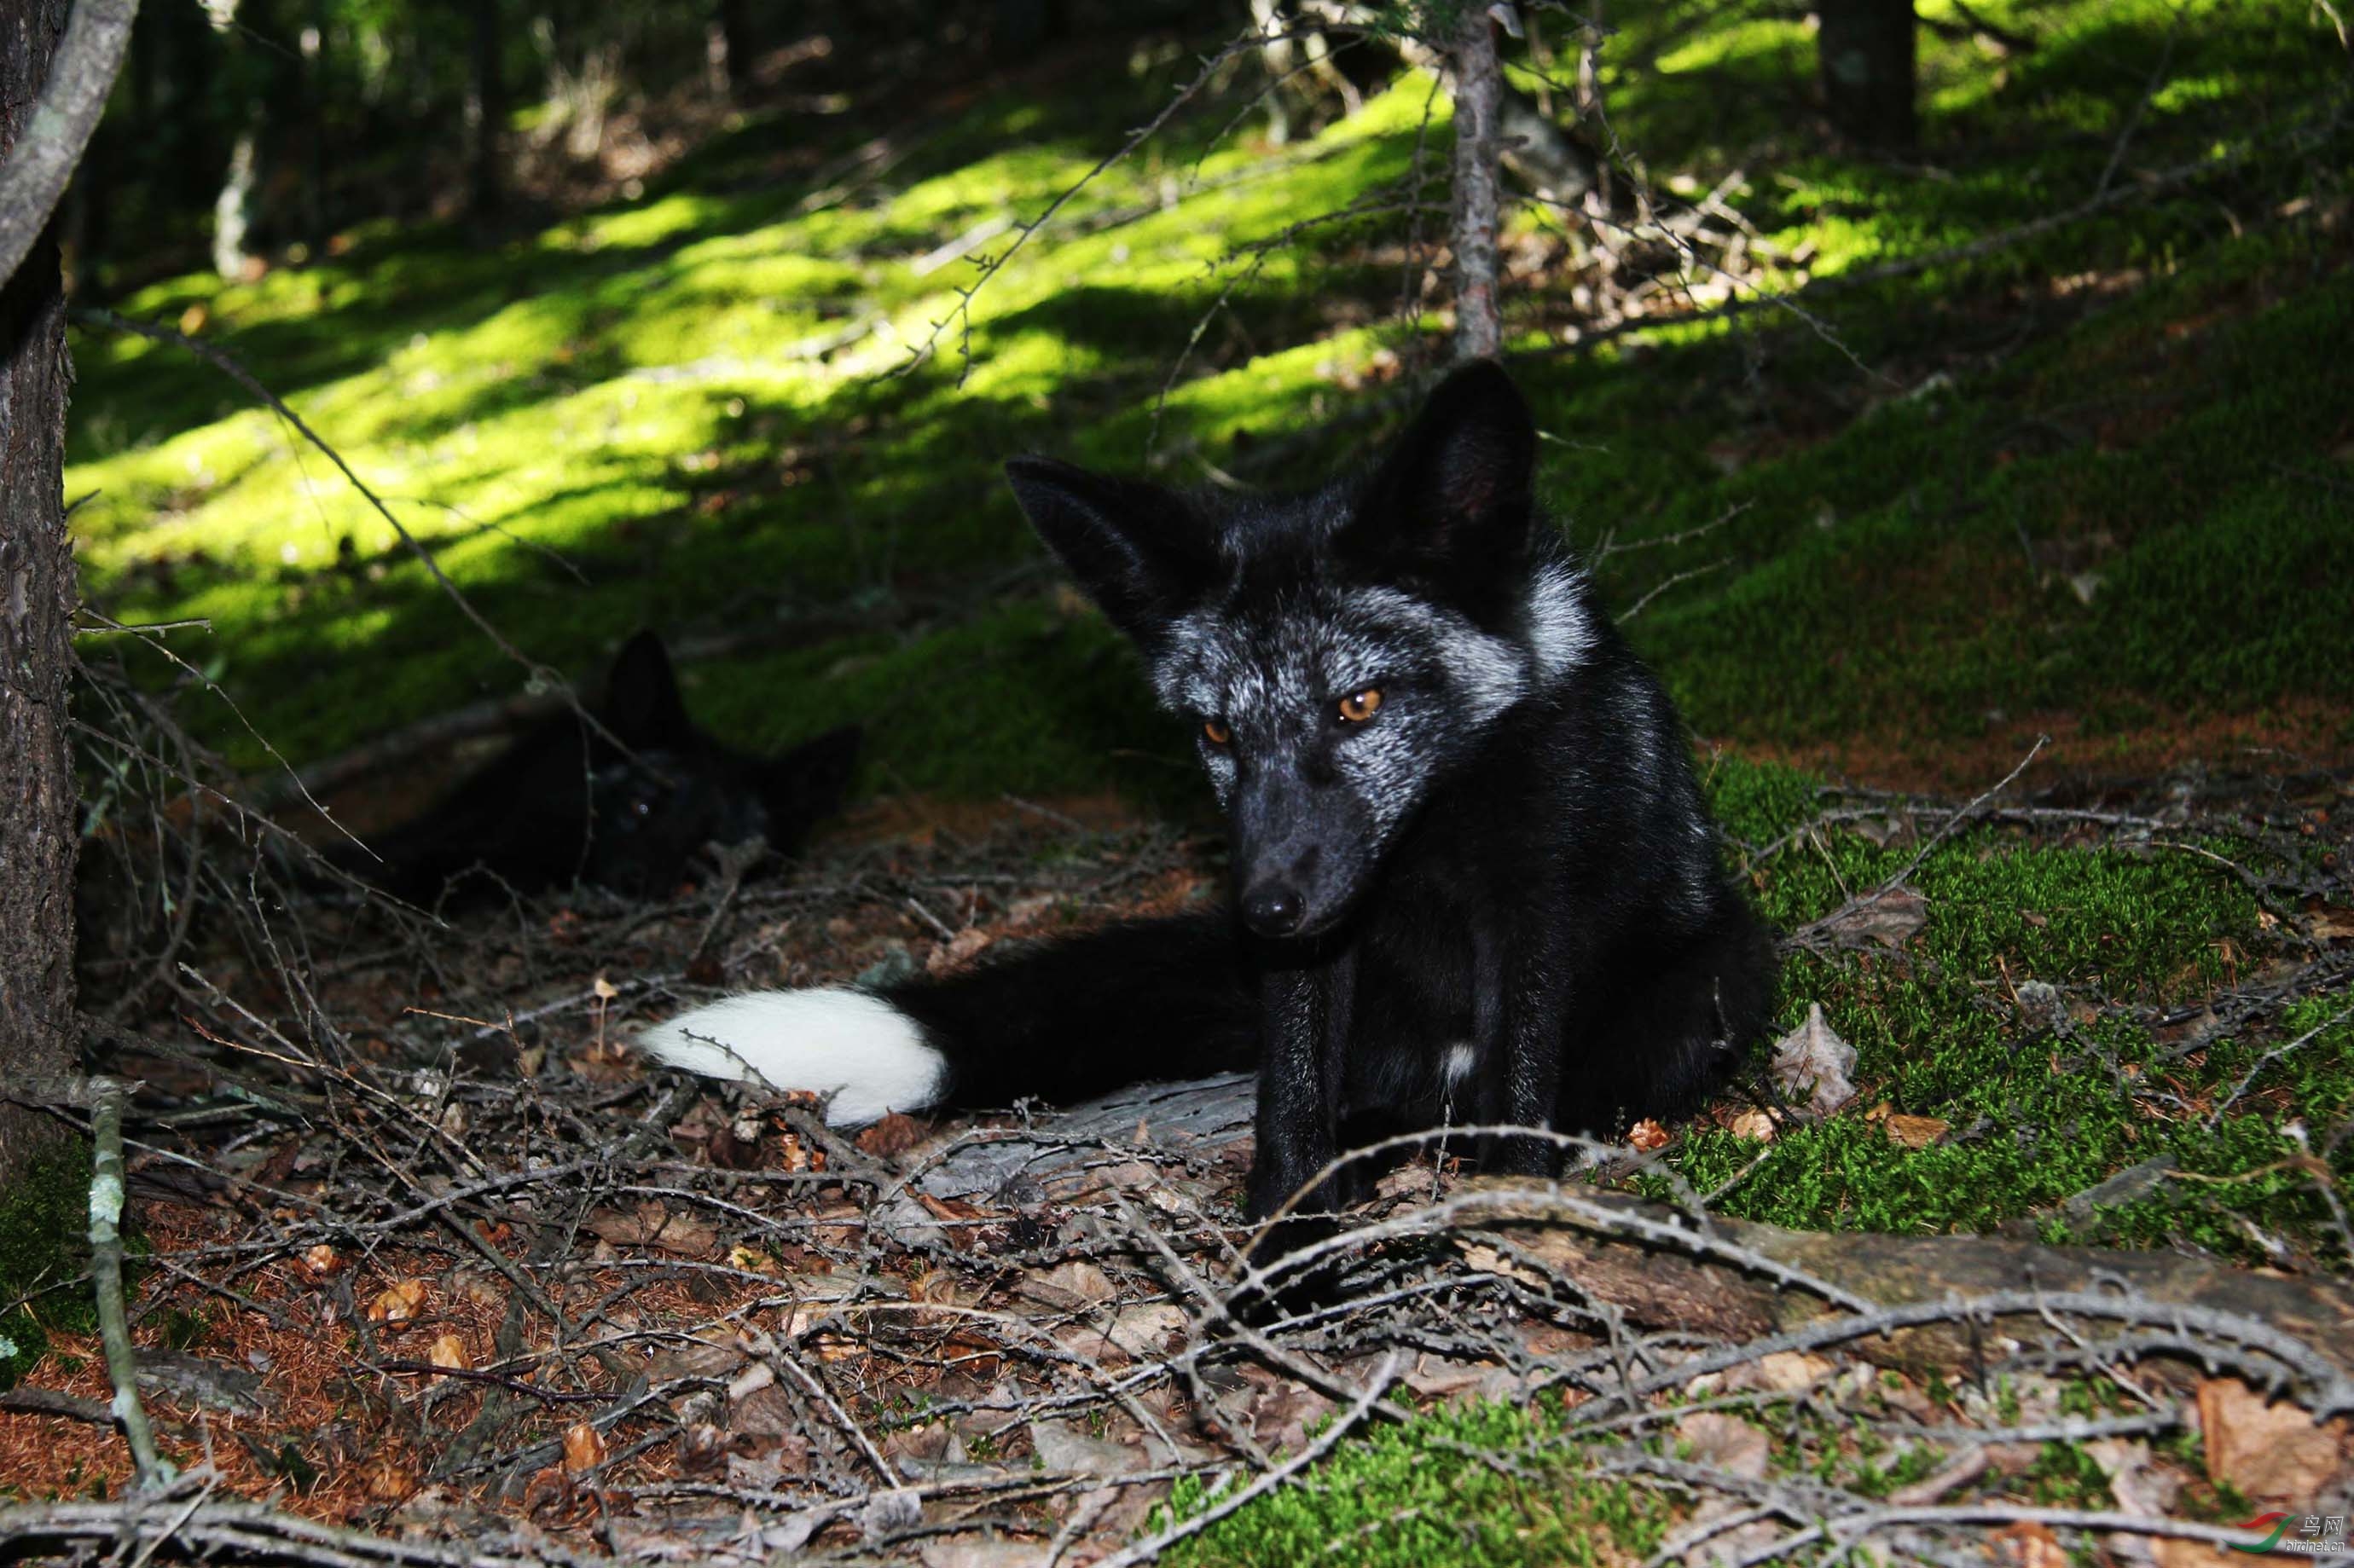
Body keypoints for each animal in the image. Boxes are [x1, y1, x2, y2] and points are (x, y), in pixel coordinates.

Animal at [635, 369, 1770, 1224]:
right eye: (1217, 732)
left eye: (1359, 702)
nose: (1260, 910)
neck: (1430, 838)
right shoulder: (1317, 949)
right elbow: (1292, 1111)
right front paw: (1283, 1250)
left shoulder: (1535, 900)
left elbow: (1523, 1091)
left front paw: (1509, 1218)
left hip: (1716, 983)